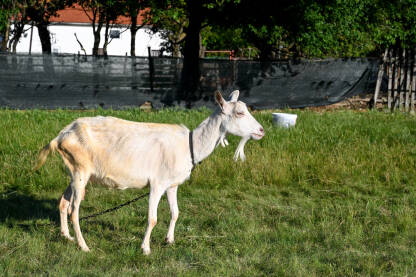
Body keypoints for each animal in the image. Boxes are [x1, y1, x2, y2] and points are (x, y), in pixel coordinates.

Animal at [35, 89, 264, 253]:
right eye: (240, 112)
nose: (261, 131)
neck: (189, 145)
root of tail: (61, 136)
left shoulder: (172, 184)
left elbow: (175, 213)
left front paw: (170, 240)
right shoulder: (157, 183)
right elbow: (152, 218)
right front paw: (145, 248)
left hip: (74, 172)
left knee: (63, 202)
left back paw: (66, 236)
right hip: (80, 170)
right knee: (74, 210)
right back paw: (83, 246)